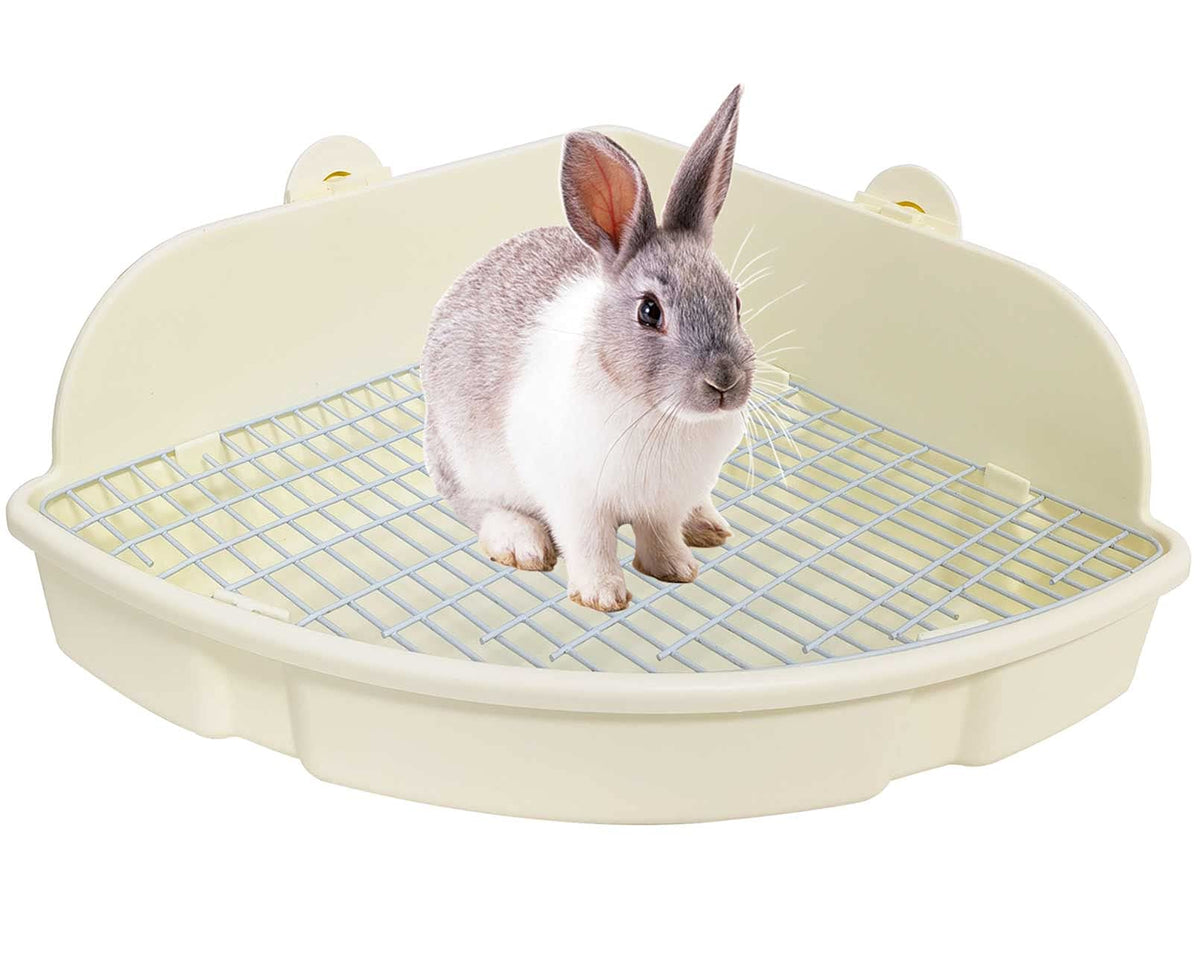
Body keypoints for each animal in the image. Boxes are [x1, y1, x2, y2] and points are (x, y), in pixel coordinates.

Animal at [421, 86, 754, 612]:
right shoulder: (576, 500)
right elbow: (591, 545)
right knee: (478, 508)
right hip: (464, 462)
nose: (725, 382)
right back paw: (522, 544)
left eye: (736, 302)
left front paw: (677, 570)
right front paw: (602, 597)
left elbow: (659, 535)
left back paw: (706, 526)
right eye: (649, 311)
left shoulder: (662, 503)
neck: (660, 416)